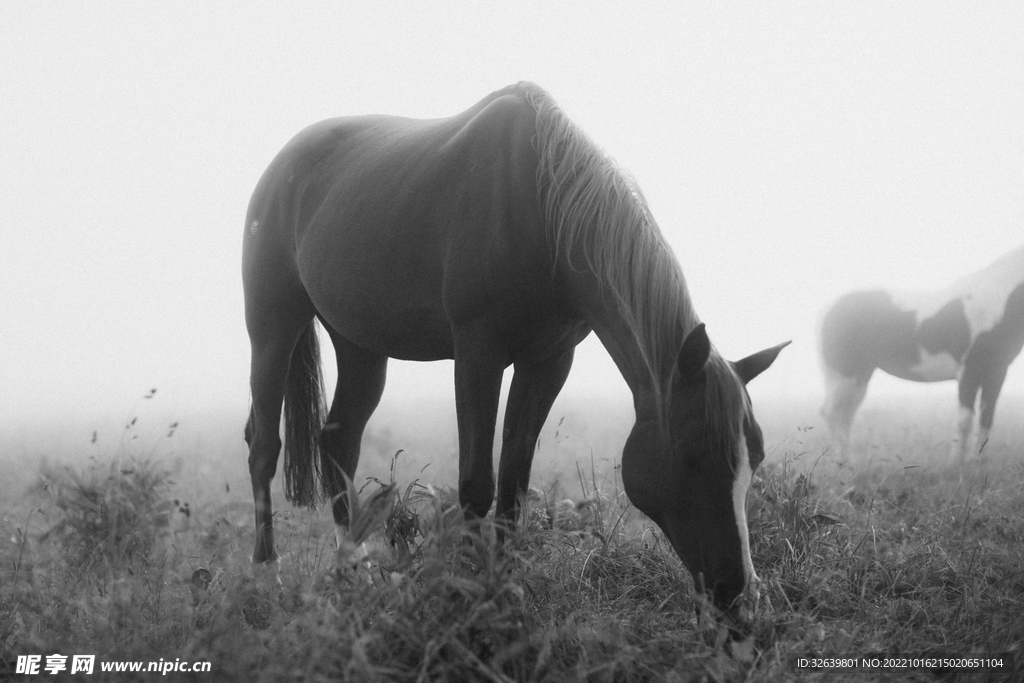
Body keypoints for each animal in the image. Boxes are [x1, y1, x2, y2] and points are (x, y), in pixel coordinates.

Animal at [241, 82, 788, 624]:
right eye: (695, 454)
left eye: (756, 457)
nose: (740, 595)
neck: (543, 212)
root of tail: (282, 165)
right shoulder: (477, 354)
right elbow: (476, 485)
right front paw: (468, 592)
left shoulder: (547, 362)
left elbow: (513, 485)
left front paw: (504, 591)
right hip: (272, 325)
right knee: (264, 444)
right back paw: (268, 576)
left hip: (360, 345)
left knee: (340, 442)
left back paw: (352, 572)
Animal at [819, 244, 1024, 457]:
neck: (996, 301)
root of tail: (829, 310)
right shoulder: (969, 372)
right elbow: (964, 422)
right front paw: (957, 463)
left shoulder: (996, 373)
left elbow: (986, 421)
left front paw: (978, 462)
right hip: (844, 376)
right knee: (833, 414)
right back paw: (846, 462)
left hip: (860, 375)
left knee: (845, 415)